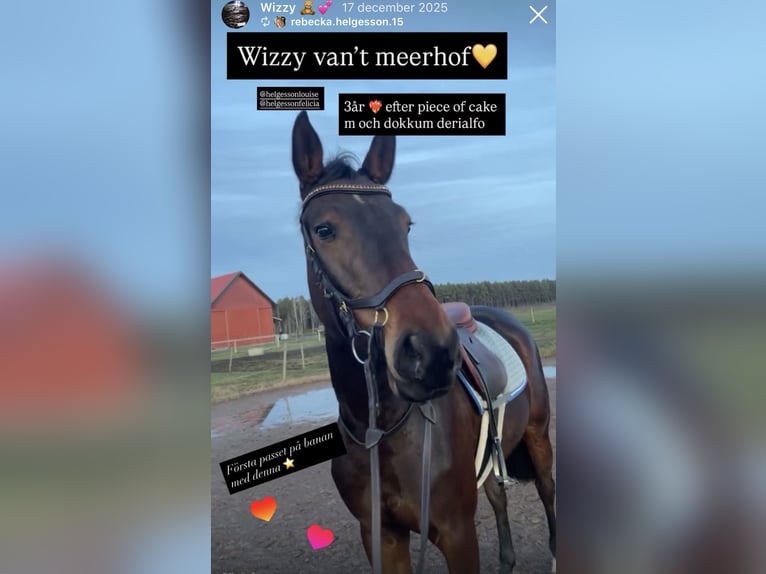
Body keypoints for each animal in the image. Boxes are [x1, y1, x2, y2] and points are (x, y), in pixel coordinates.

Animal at [291, 110, 556, 574]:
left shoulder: (457, 533)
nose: (432, 353)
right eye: (324, 229)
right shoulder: (381, 536)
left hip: (539, 440)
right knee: (499, 496)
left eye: (405, 224)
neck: (381, 428)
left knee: (550, 497)